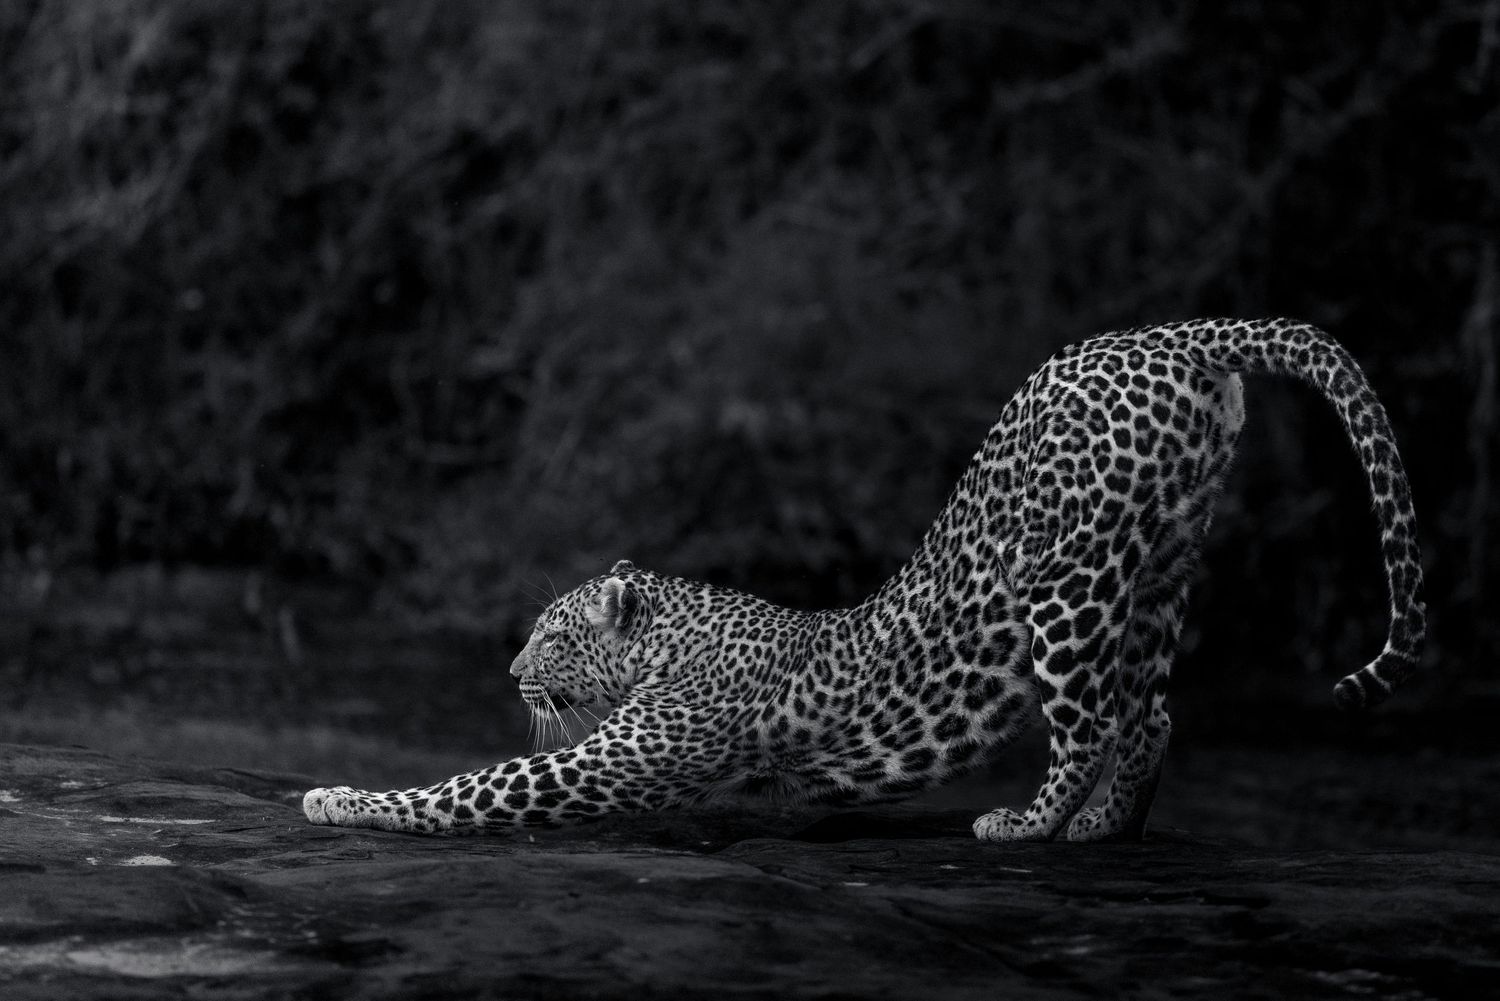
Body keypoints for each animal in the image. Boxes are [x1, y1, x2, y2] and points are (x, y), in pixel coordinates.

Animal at [304, 318, 1425, 842]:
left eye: (555, 634)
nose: (509, 672)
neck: (678, 628)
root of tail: (1166, 335)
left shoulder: (618, 759)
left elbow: (471, 784)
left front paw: (339, 795)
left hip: (1068, 579)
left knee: (1091, 718)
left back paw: (1026, 824)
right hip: (1161, 558)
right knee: (1149, 710)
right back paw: (1103, 828)